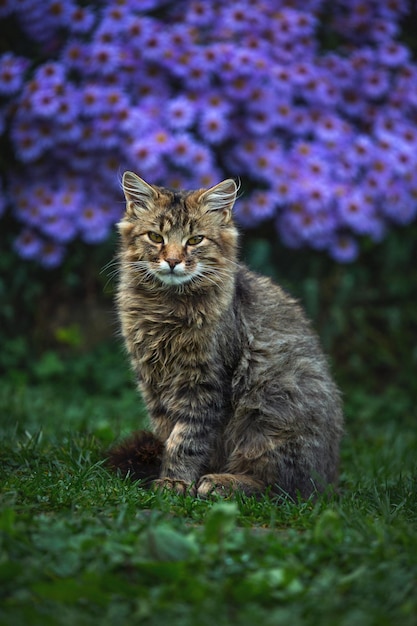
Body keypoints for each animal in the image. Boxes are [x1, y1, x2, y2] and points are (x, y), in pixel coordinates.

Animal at [106, 171, 342, 498]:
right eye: (156, 237)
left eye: (195, 240)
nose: (172, 261)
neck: (166, 306)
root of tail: (330, 478)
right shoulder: (154, 383)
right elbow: (169, 435)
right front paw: (174, 477)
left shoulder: (205, 383)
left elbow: (186, 439)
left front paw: (175, 481)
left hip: (267, 415)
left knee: (281, 488)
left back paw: (221, 482)